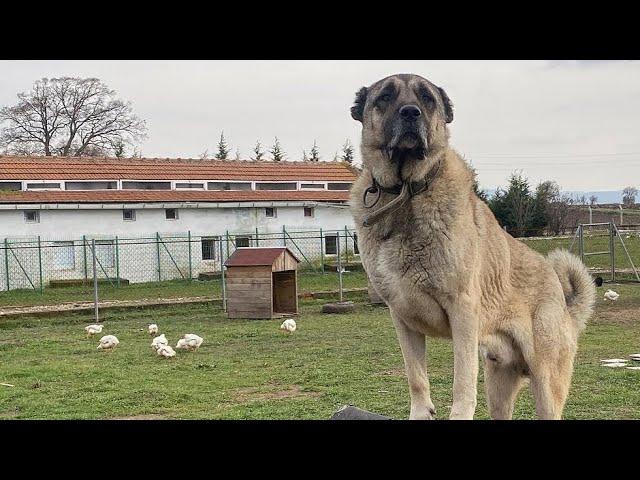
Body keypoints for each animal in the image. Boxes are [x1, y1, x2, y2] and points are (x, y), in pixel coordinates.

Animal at [350, 72, 596, 420]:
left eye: (427, 99)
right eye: (385, 97)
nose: (411, 113)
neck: (405, 194)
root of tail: (564, 302)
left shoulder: (463, 311)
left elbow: (462, 380)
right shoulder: (403, 320)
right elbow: (416, 377)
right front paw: (421, 412)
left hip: (546, 384)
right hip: (499, 388)